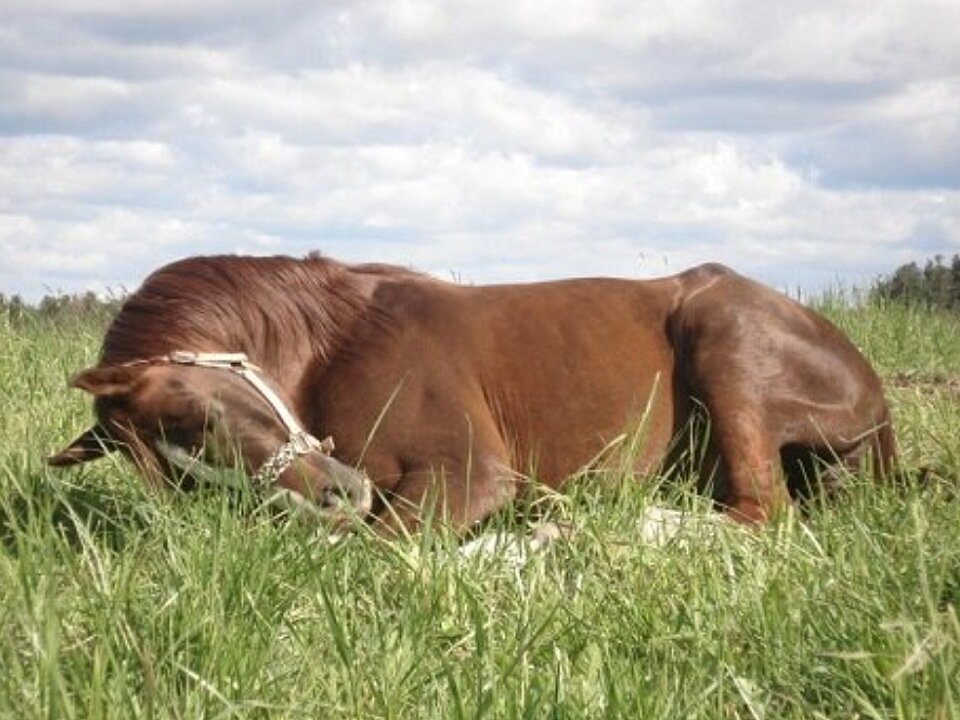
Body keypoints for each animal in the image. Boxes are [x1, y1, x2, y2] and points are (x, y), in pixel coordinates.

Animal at [47, 253, 900, 536]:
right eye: (181, 482)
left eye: (196, 416)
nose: (335, 494)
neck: (338, 341)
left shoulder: (468, 474)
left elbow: (368, 547)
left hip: (727, 341)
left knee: (762, 516)